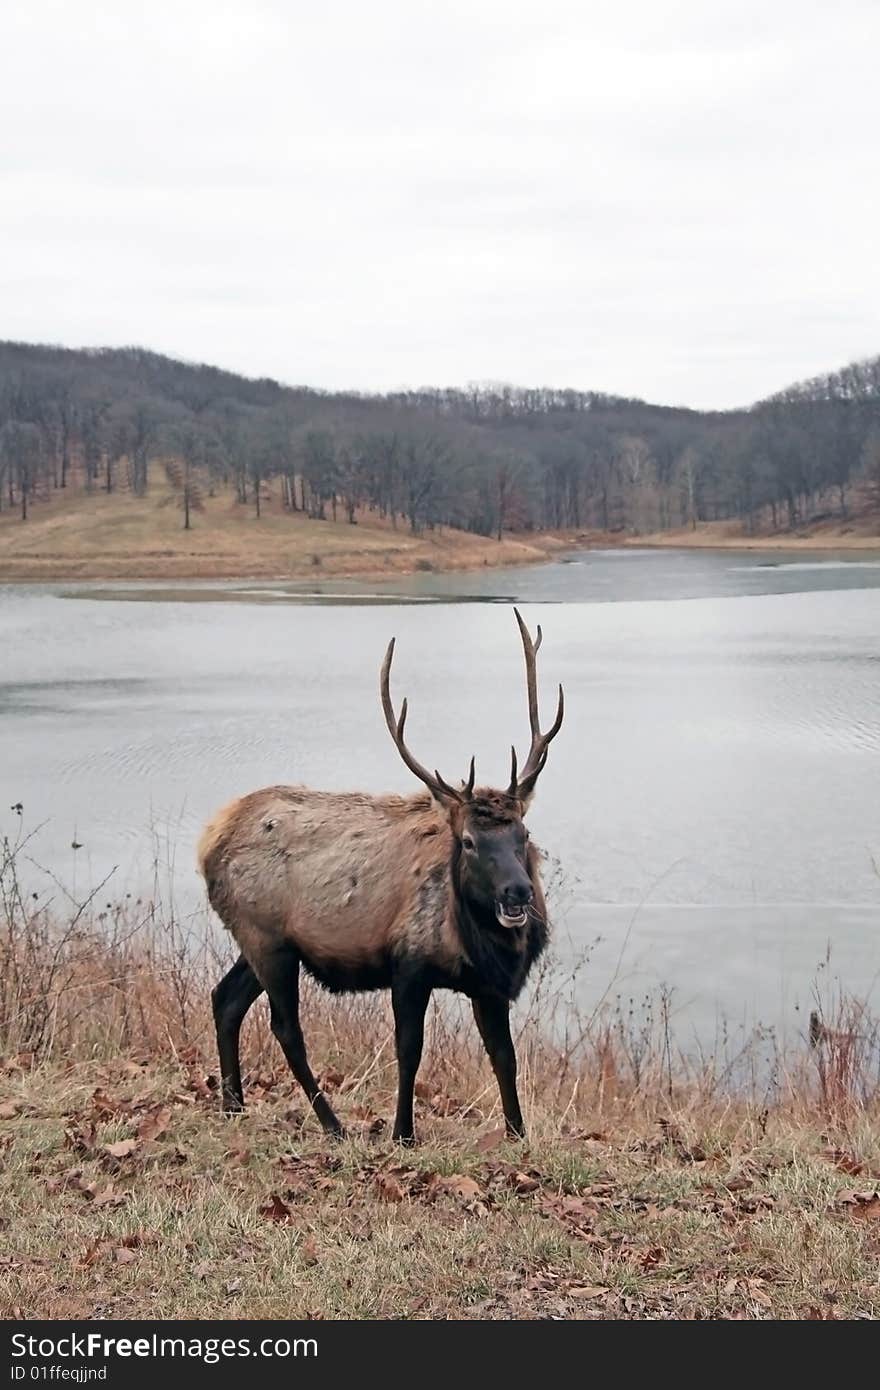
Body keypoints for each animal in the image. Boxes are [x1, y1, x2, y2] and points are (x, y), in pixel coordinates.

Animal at [198, 608, 561, 1139]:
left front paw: (518, 1133)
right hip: (267, 940)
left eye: (524, 833)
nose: (517, 892)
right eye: (468, 841)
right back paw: (331, 1124)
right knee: (285, 1028)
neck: (470, 939)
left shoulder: (488, 985)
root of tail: (208, 840)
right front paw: (402, 1132)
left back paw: (233, 1104)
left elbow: (504, 1058)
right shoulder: (408, 964)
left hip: (259, 942)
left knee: (225, 999)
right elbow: (409, 1050)